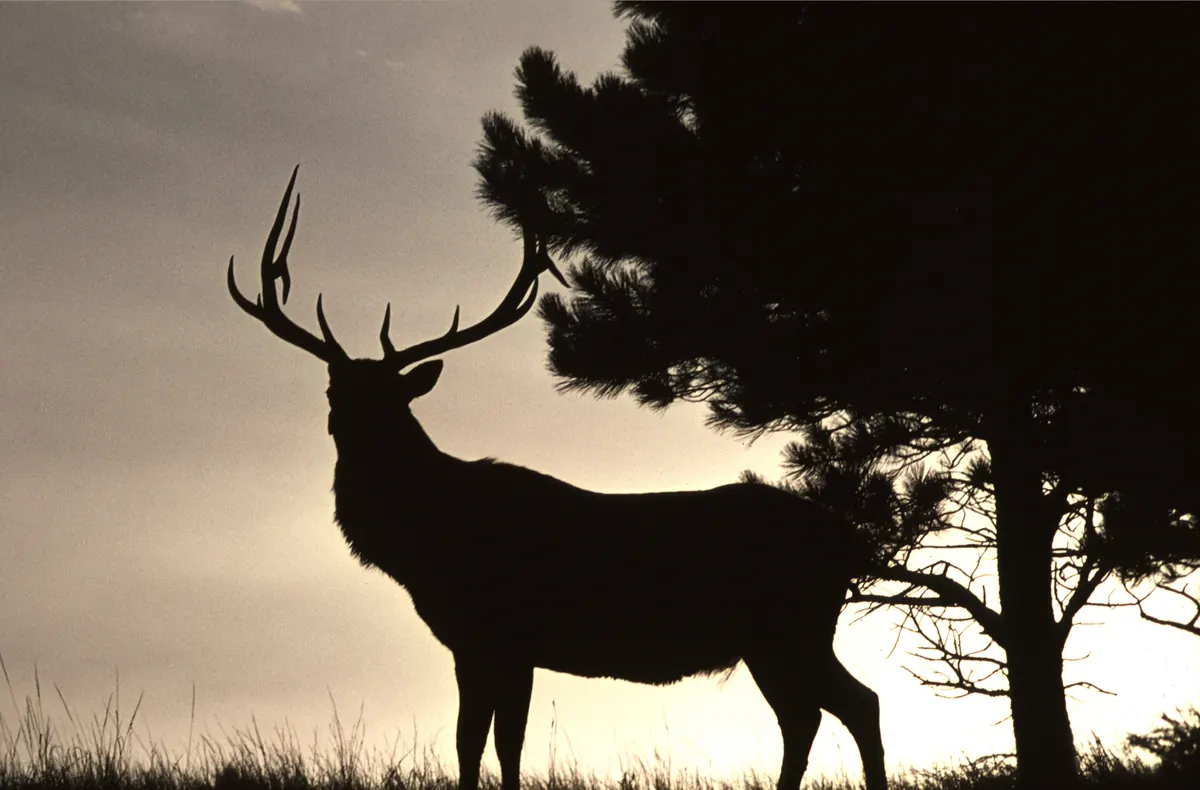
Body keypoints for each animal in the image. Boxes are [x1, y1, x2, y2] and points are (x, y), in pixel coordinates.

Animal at [226, 167, 887, 790]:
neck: (428, 545)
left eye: (394, 398)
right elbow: (472, 743)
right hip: (781, 636)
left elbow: (501, 743)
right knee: (824, 712)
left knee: (849, 705)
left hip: (789, 626)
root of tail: (851, 540)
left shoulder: (509, 633)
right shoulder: (474, 644)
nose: (350, 430)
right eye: (334, 390)